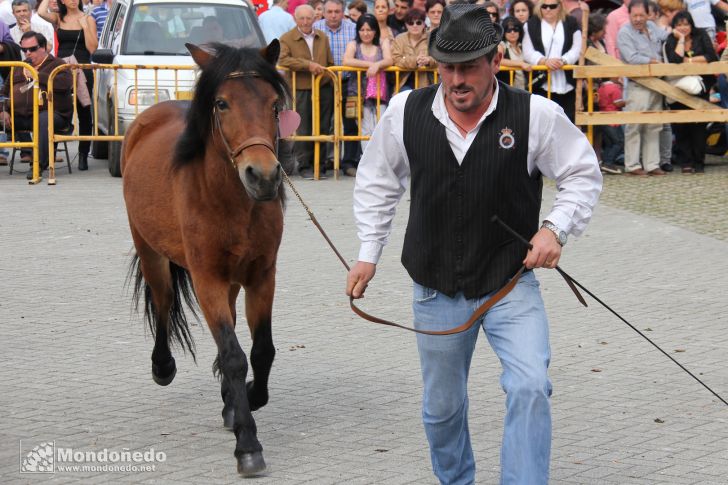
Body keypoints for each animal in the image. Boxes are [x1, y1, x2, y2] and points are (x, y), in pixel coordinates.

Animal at [122, 40, 290, 472]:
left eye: (274, 105)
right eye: (222, 103)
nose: (263, 176)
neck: (229, 201)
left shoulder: (262, 275)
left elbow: (261, 351)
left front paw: (248, 398)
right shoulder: (206, 279)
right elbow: (233, 355)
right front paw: (248, 445)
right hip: (151, 253)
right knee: (163, 303)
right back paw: (163, 367)